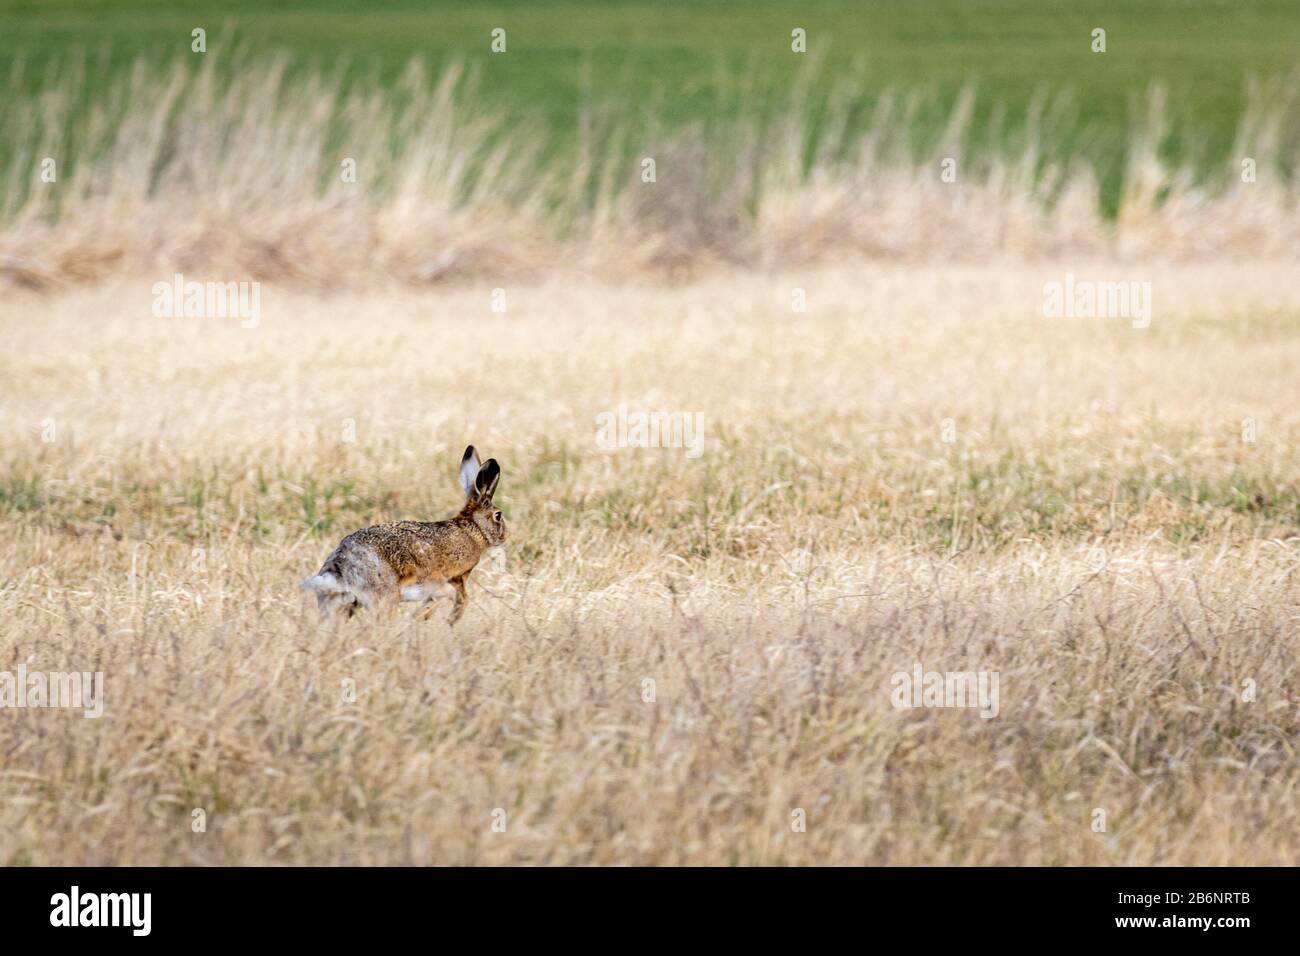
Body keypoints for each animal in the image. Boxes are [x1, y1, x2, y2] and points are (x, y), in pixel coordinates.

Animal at [300, 445, 506, 623]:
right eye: (498, 515)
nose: (505, 536)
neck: (472, 529)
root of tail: (340, 567)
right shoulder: (452, 578)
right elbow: (460, 598)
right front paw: (447, 620)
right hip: (385, 596)